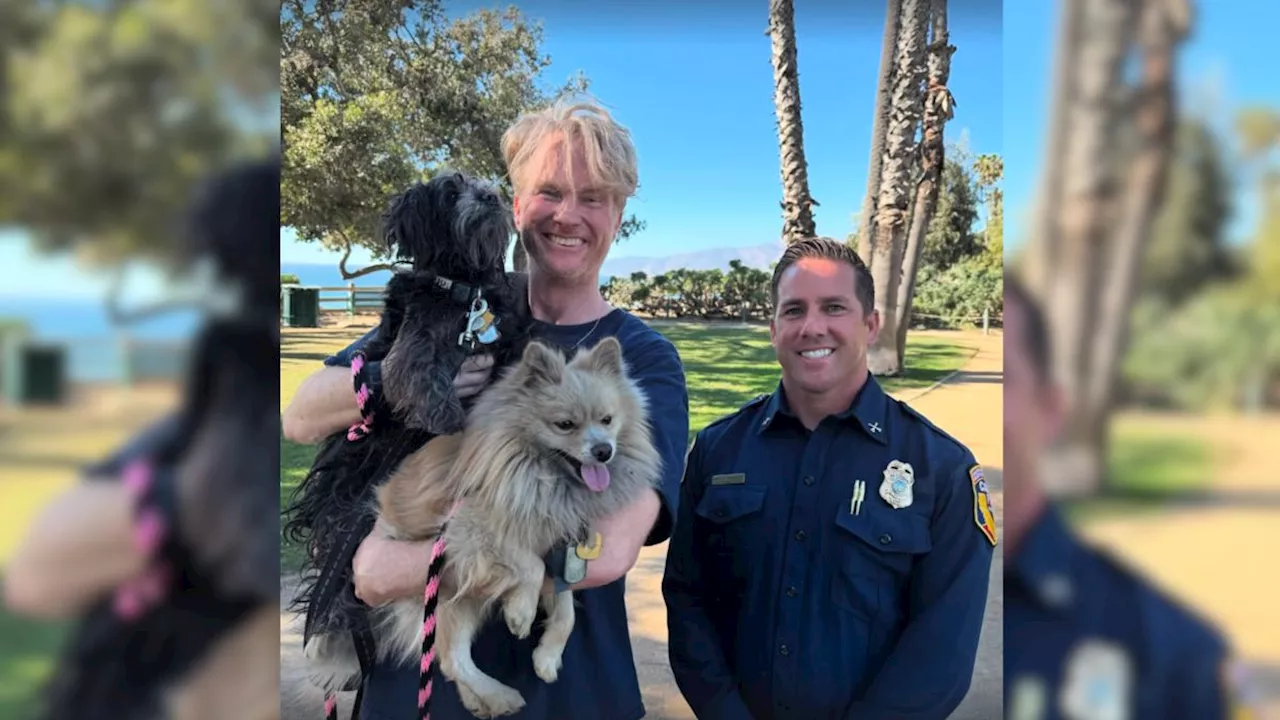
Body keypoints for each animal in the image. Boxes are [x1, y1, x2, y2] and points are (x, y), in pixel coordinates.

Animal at [282, 170, 532, 702]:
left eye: (480, 184)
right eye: (451, 191)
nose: (491, 195)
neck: (465, 289)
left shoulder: (503, 337)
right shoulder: (408, 349)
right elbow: (418, 375)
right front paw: (447, 419)